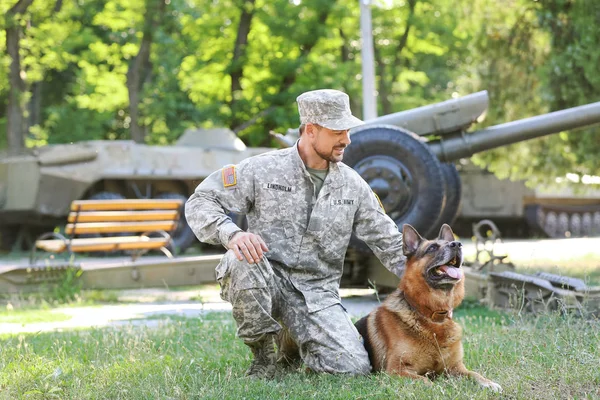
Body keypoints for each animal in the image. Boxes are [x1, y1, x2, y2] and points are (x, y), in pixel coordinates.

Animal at [356, 223, 502, 392]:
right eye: (432, 248)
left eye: (451, 243)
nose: (457, 244)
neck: (432, 315)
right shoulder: (396, 370)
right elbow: (425, 381)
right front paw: (439, 389)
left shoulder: (455, 367)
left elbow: (474, 374)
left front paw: (488, 383)